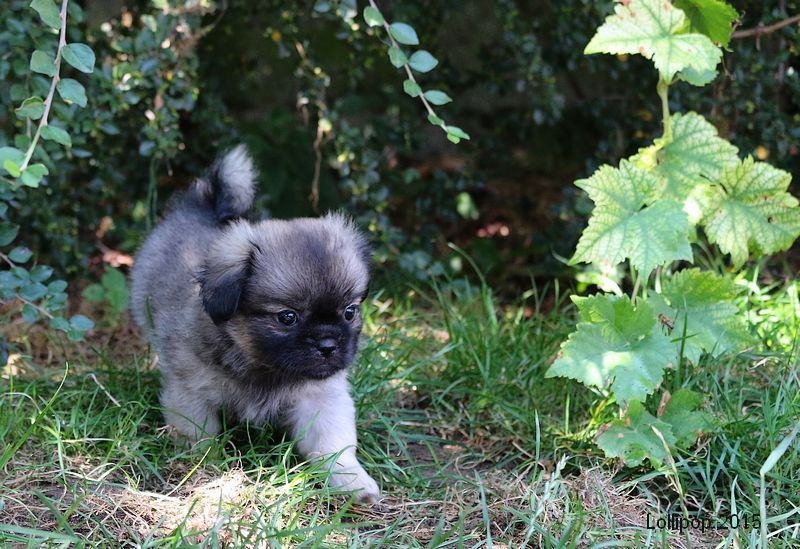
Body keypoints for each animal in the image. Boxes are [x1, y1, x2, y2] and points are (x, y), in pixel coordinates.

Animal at [130, 146, 380, 500]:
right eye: (287, 317)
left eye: (349, 312)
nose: (328, 344)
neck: (264, 366)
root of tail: (200, 207)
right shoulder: (191, 394)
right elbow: (200, 437)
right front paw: (203, 470)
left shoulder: (322, 398)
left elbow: (334, 445)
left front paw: (351, 479)